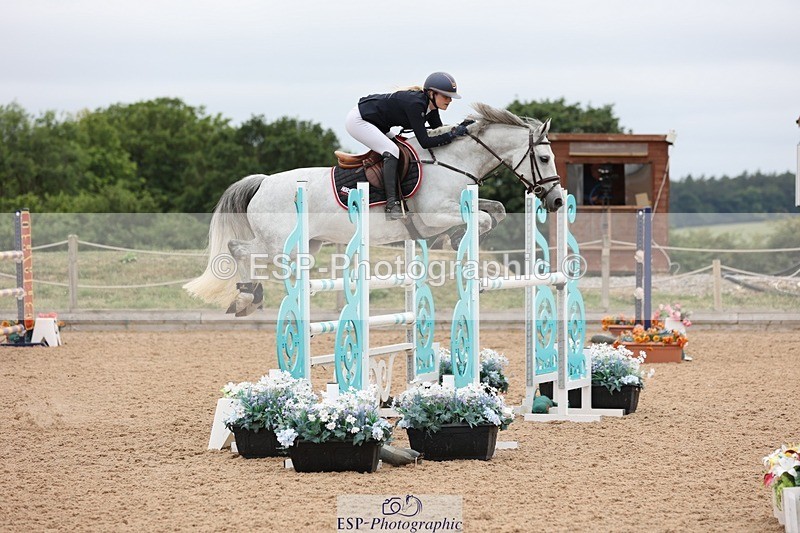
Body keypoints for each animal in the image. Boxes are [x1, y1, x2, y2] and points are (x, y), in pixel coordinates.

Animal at [184, 102, 564, 315]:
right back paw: (248, 296)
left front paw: (458, 240)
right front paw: (456, 240)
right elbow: (482, 218)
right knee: (239, 249)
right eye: (545, 158)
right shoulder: (433, 216)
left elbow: (494, 210)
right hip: (277, 243)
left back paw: (251, 296)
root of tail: (262, 183)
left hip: (307, 244)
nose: (557, 200)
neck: (452, 161)